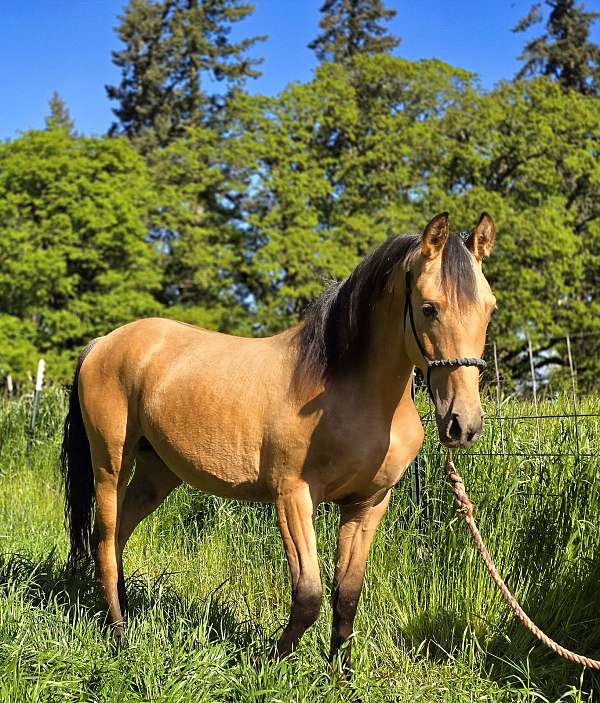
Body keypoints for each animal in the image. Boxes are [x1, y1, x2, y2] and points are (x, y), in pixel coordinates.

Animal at [59, 213, 496, 672]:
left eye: (489, 308)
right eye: (429, 307)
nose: (463, 424)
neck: (347, 389)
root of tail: (103, 344)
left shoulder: (367, 504)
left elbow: (347, 595)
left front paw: (340, 675)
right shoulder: (294, 497)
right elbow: (308, 595)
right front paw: (271, 663)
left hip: (156, 474)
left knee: (116, 538)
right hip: (111, 464)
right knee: (105, 540)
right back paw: (120, 638)